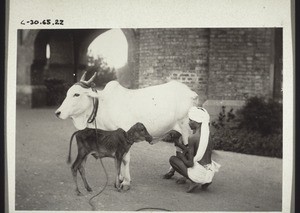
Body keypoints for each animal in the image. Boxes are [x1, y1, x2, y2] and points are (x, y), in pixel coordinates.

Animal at [55, 73, 199, 190]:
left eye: (76, 94)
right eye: (68, 93)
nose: (58, 112)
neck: (104, 105)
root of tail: (191, 92)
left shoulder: (126, 138)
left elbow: (125, 159)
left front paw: (125, 182)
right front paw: (120, 178)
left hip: (186, 129)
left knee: (187, 150)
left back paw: (184, 178)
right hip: (178, 131)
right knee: (178, 148)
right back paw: (169, 173)